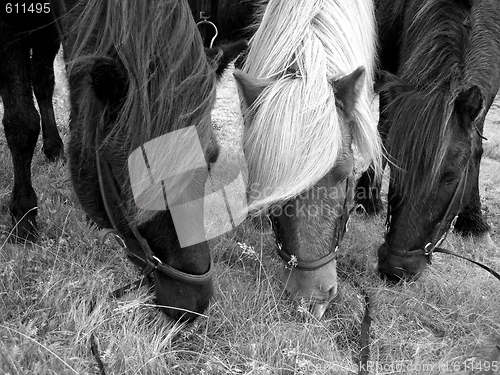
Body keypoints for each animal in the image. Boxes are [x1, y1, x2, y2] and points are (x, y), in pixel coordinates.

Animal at [358, 0, 498, 282]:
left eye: (452, 177)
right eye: (397, 166)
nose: (396, 268)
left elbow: (476, 148)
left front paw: (475, 224)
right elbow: (384, 132)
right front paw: (367, 199)